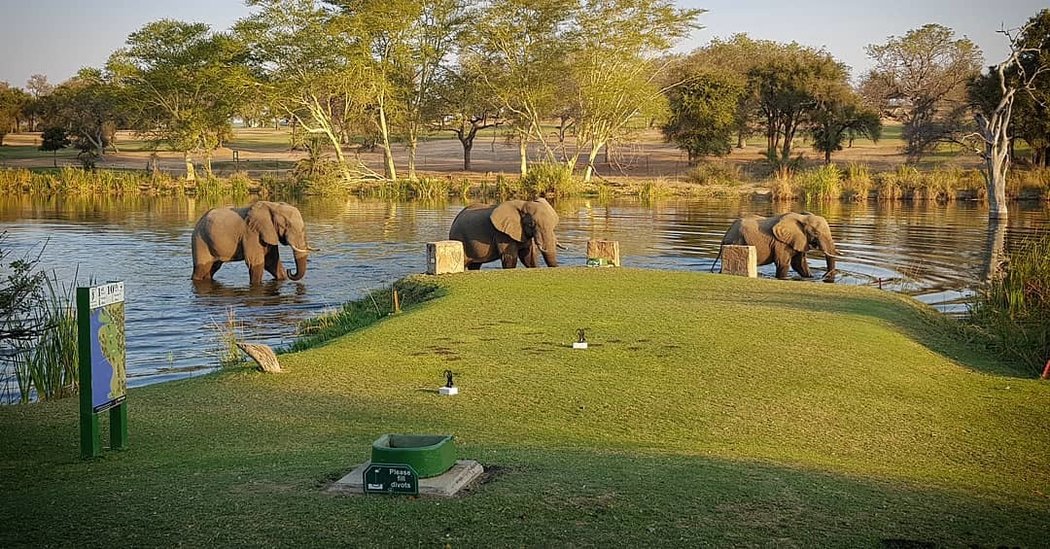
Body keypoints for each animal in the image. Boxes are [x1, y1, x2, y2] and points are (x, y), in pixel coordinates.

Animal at [709, 210, 839, 279]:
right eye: (816, 233)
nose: (825, 276)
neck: (802, 217)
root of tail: (726, 233)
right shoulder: (780, 243)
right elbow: (783, 264)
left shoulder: (799, 240)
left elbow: (799, 264)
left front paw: (810, 277)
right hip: (736, 241)